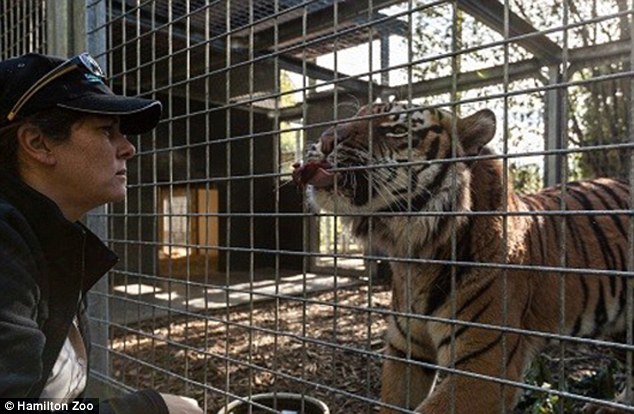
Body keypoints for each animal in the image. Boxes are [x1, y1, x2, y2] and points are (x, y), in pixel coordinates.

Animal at [292, 101, 632, 414]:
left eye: (396, 129)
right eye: (354, 116)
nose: (325, 140)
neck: (418, 254)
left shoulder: (483, 368)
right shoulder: (406, 351)